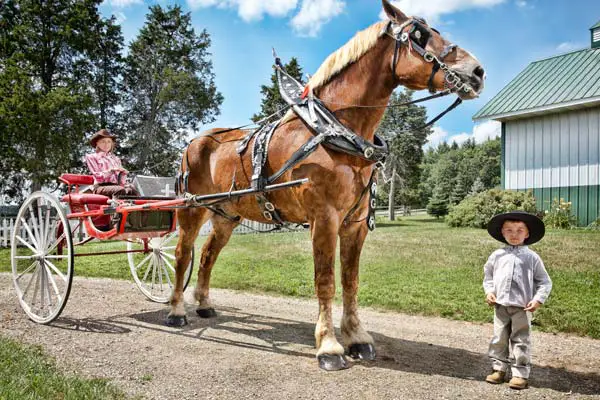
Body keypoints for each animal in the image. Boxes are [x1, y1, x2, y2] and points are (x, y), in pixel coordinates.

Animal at [166, 0, 486, 370]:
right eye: (419, 35)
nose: (478, 71)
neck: (336, 131)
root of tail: (195, 141)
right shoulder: (324, 217)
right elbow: (326, 281)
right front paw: (329, 345)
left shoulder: (355, 223)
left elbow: (350, 281)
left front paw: (356, 336)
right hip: (192, 208)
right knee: (182, 254)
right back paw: (176, 310)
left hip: (226, 215)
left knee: (207, 255)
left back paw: (204, 304)